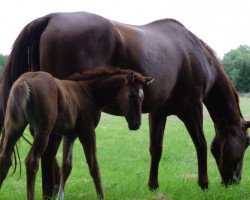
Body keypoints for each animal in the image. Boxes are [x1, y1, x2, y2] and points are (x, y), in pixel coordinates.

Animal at [0, 11, 249, 199]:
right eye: (247, 143)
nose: (235, 181)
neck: (193, 54)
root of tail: (49, 17)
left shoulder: (157, 113)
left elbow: (156, 148)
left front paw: (153, 185)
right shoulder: (192, 108)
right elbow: (201, 144)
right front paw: (203, 184)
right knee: (46, 154)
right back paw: (48, 193)